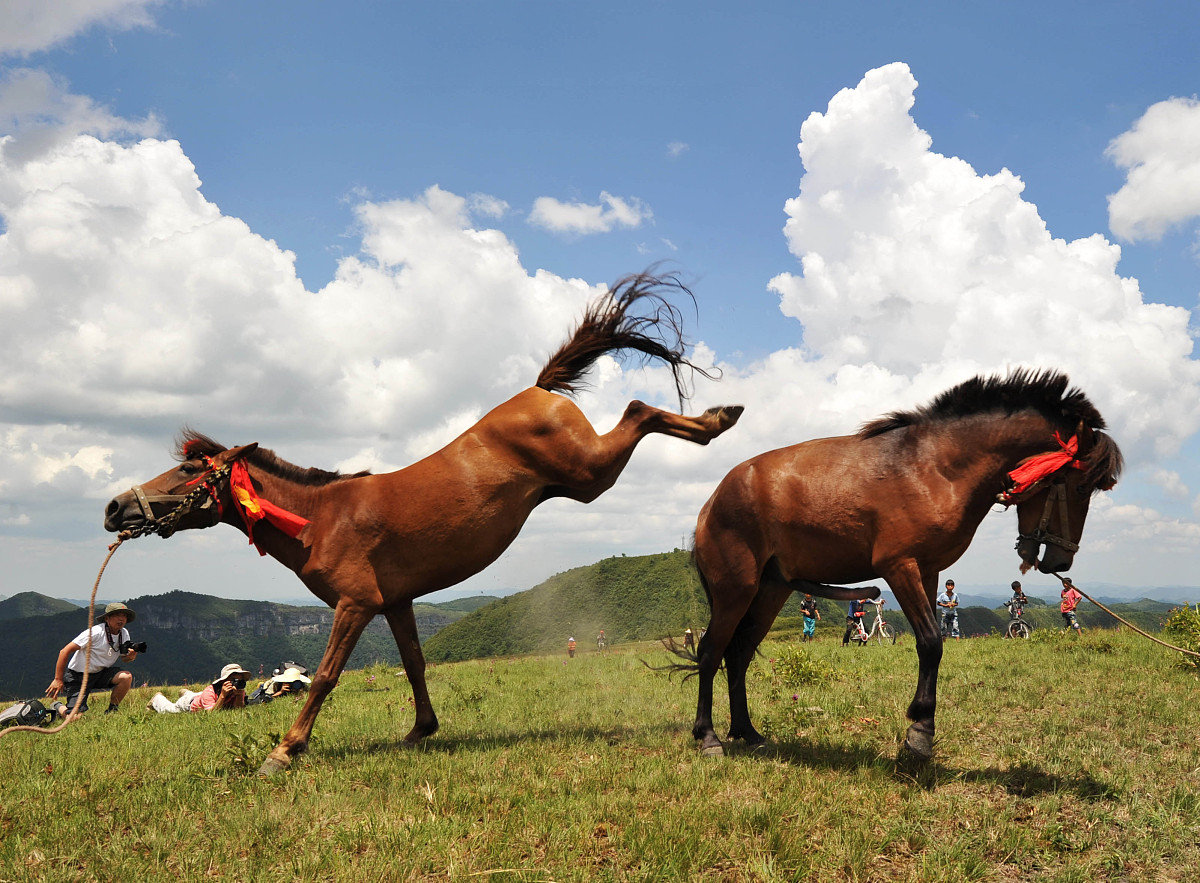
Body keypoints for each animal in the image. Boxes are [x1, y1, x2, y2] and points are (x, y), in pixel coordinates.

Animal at [103, 272, 743, 774]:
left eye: (189, 468)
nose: (114, 509)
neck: (322, 517)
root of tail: (537, 389)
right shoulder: (397, 602)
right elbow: (414, 664)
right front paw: (420, 731)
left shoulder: (356, 604)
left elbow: (327, 676)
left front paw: (284, 751)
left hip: (591, 476)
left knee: (637, 410)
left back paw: (717, 418)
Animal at [682, 369, 1122, 760]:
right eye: (1079, 487)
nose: (1062, 559)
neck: (934, 467)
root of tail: (712, 501)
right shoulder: (900, 567)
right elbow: (929, 642)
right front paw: (920, 733)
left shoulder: (927, 571)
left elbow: (932, 646)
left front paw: (922, 727)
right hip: (735, 590)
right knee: (710, 651)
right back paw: (708, 736)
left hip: (771, 590)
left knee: (738, 653)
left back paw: (746, 731)